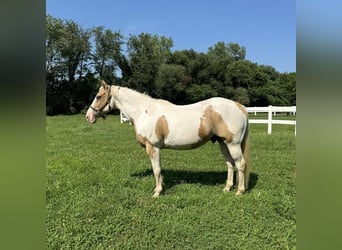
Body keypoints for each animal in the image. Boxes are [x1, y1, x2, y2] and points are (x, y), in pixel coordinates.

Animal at [86, 80, 251, 197]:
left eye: (98, 96)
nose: (88, 116)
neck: (144, 112)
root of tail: (238, 106)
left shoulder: (153, 147)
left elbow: (157, 170)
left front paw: (157, 192)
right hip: (223, 143)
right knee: (230, 164)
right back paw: (227, 188)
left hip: (233, 144)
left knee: (240, 164)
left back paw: (239, 191)